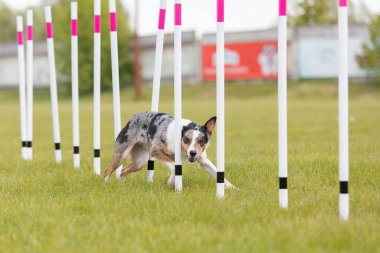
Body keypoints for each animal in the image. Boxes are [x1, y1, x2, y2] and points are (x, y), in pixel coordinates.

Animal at [104, 111, 235, 189]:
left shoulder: (204, 161)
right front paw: (171, 182)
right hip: (122, 155)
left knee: (122, 171)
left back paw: (121, 184)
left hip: (139, 162)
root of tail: (133, 118)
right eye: (186, 139)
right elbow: (174, 167)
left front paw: (233, 188)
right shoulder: (156, 151)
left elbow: (218, 174)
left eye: (201, 141)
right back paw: (105, 184)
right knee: (108, 170)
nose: (192, 153)